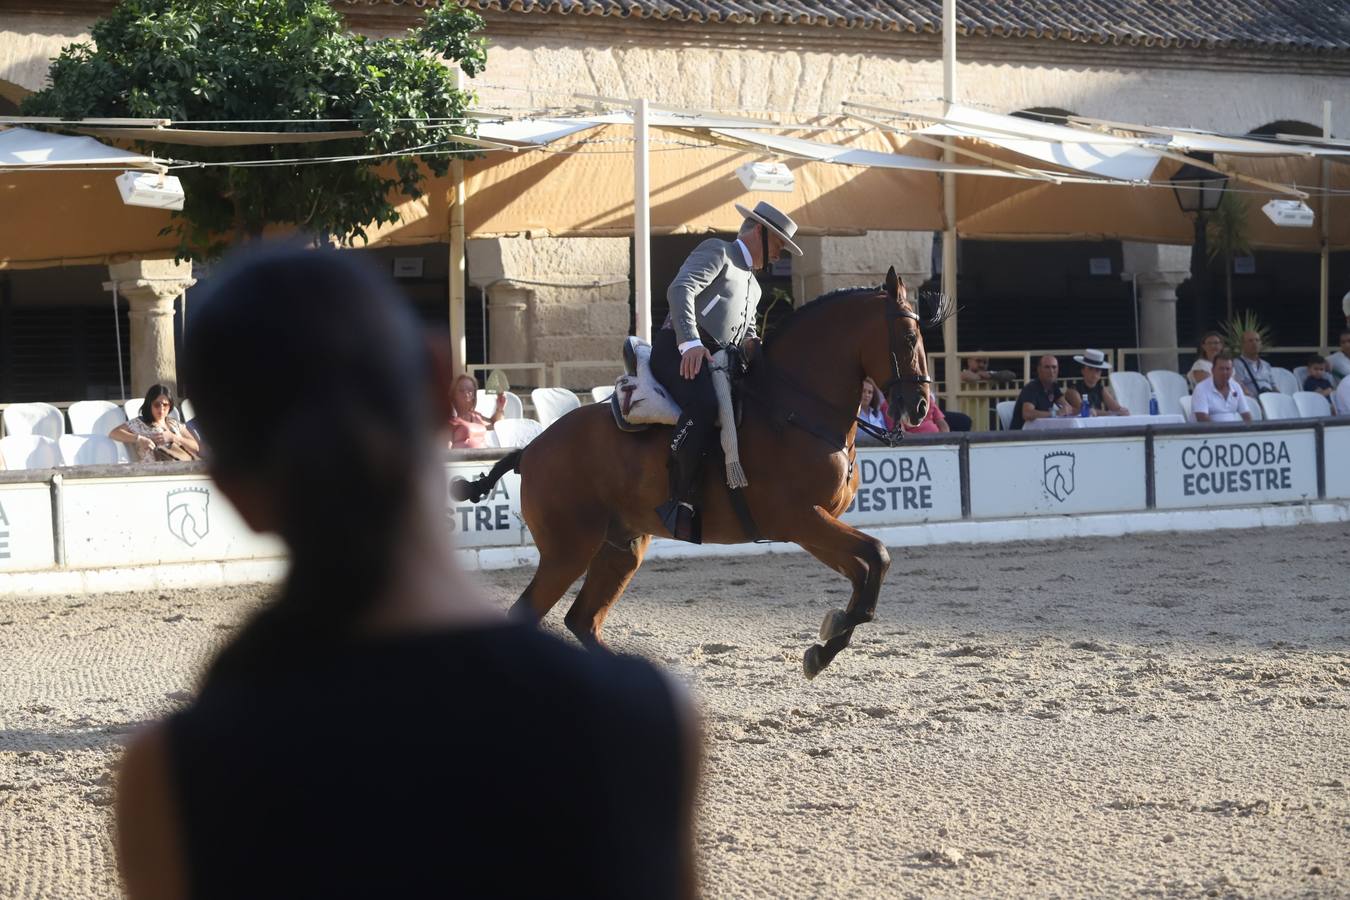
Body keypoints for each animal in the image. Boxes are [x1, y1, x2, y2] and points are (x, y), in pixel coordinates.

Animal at [453, 267, 939, 674]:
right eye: (908, 335)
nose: (918, 407)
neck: (795, 409)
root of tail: (532, 448)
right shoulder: (801, 519)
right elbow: (878, 555)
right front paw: (827, 640)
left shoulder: (812, 527)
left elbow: (866, 571)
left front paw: (827, 641)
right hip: (567, 551)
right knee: (534, 614)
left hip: (620, 549)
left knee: (582, 621)